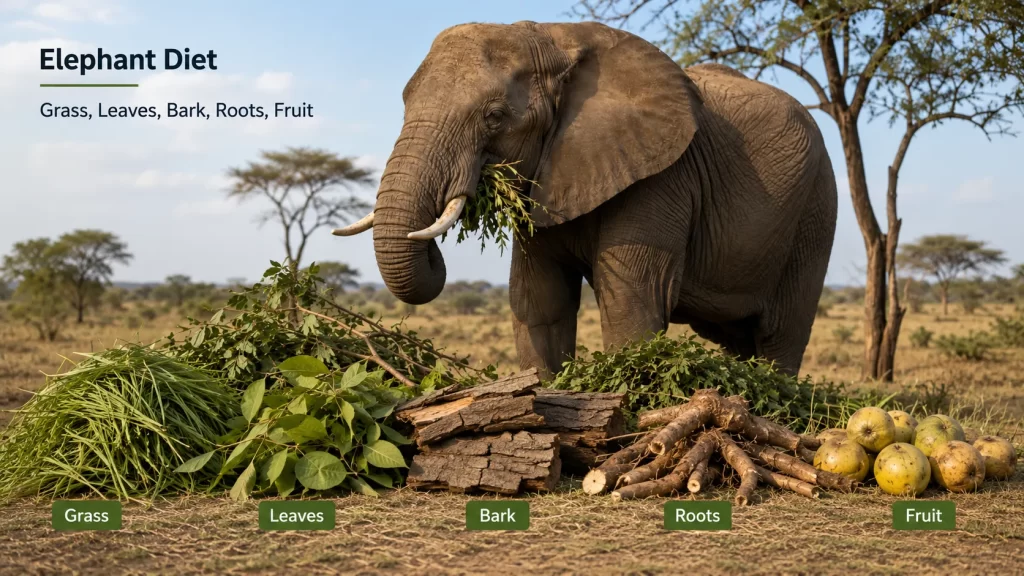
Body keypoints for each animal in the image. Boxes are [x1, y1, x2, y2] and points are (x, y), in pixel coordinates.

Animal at [334, 21, 837, 380]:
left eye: (494, 116)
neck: (554, 41)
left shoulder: (663, 177)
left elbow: (632, 300)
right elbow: (539, 301)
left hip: (816, 210)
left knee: (779, 333)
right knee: (739, 339)